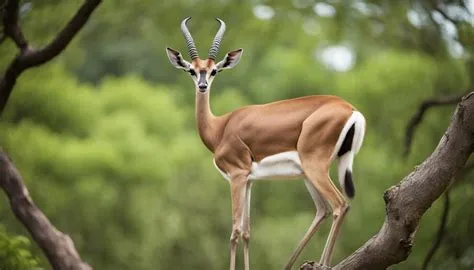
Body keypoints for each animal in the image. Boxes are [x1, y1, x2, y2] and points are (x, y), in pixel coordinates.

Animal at [166, 17, 366, 268]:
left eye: (213, 71)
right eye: (192, 70)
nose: (202, 86)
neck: (219, 128)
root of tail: (351, 109)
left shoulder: (237, 175)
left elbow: (234, 231)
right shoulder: (250, 180)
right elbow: (247, 232)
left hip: (315, 168)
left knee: (340, 204)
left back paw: (322, 264)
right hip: (308, 174)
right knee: (323, 210)